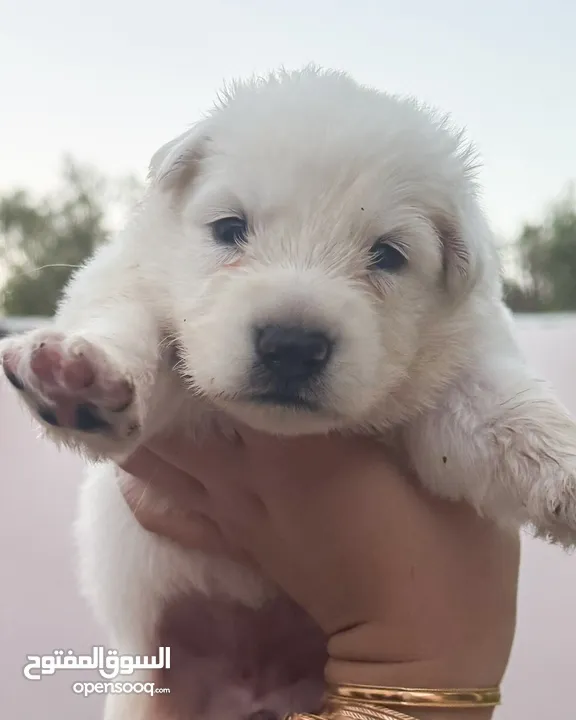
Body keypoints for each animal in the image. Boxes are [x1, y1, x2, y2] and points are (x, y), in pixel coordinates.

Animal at [3, 66, 576, 716]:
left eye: (387, 255)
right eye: (230, 228)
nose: (292, 344)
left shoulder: (456, 377)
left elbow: (504, 414)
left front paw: (566, 469)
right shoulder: (132, 293)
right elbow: (127, 323)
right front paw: (79, 379)